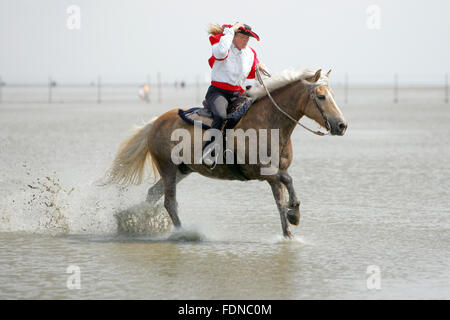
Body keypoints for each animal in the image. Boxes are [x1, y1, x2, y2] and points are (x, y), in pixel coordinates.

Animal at [103, 68, 348, 238]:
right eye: (321, 96)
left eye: (334, 94)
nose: (342, 125)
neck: (270, 123)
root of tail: (155, 122)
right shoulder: (262, 171)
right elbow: (288, 181)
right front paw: (294, 214)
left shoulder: (275, 175)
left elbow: (280, 200)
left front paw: (289, 231)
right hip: (168, 169)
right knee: (169, 202)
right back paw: (183, 233)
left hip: (182, 170)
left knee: (153, 194)